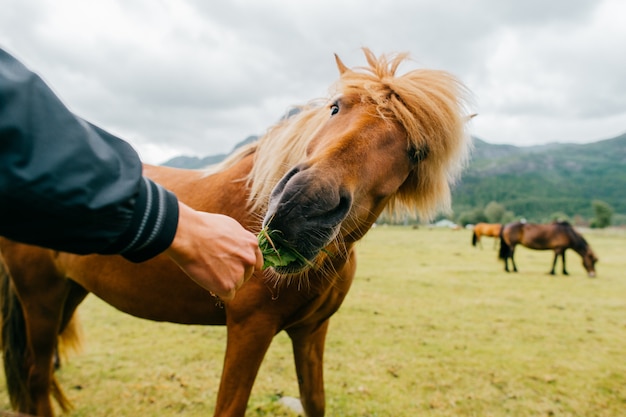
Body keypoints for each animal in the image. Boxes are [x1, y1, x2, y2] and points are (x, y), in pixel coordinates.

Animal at [0, 49, 470, 416]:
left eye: (416, 152)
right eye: (336, 107)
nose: (300, 208)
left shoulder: (312, 331)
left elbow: (313, 402)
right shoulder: (249, 327)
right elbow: (230, 406)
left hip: (68, 292)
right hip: (40, 296)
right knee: (36, 377)